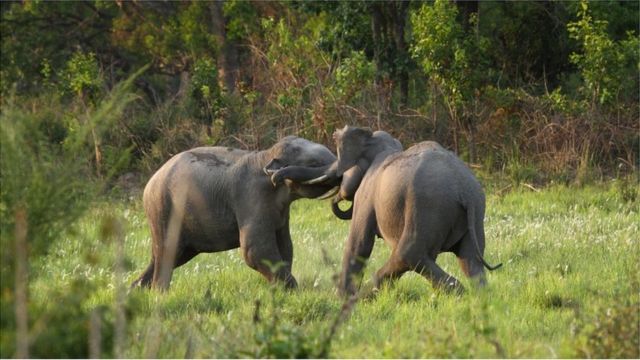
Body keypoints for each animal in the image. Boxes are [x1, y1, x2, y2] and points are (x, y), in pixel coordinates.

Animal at [130, 136, 340, 292]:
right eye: (314, 163)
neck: (265, 155)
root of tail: (147, 186)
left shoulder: (280, 211)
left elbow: (286, 245)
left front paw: (280, 290)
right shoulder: (251, 197)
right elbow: (254, 249)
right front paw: (293, 290)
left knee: (171, 256)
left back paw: (137, 289)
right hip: (163, 210)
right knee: (167, 253)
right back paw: (159, 294)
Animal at [284, 126, 500, 296]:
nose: (277, 177)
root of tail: (463, 190)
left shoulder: (367, 192)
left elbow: (358, 244)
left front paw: (342, 298)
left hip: (425, 207)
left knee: (409, 253)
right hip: (474, 214)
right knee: (470, 259)